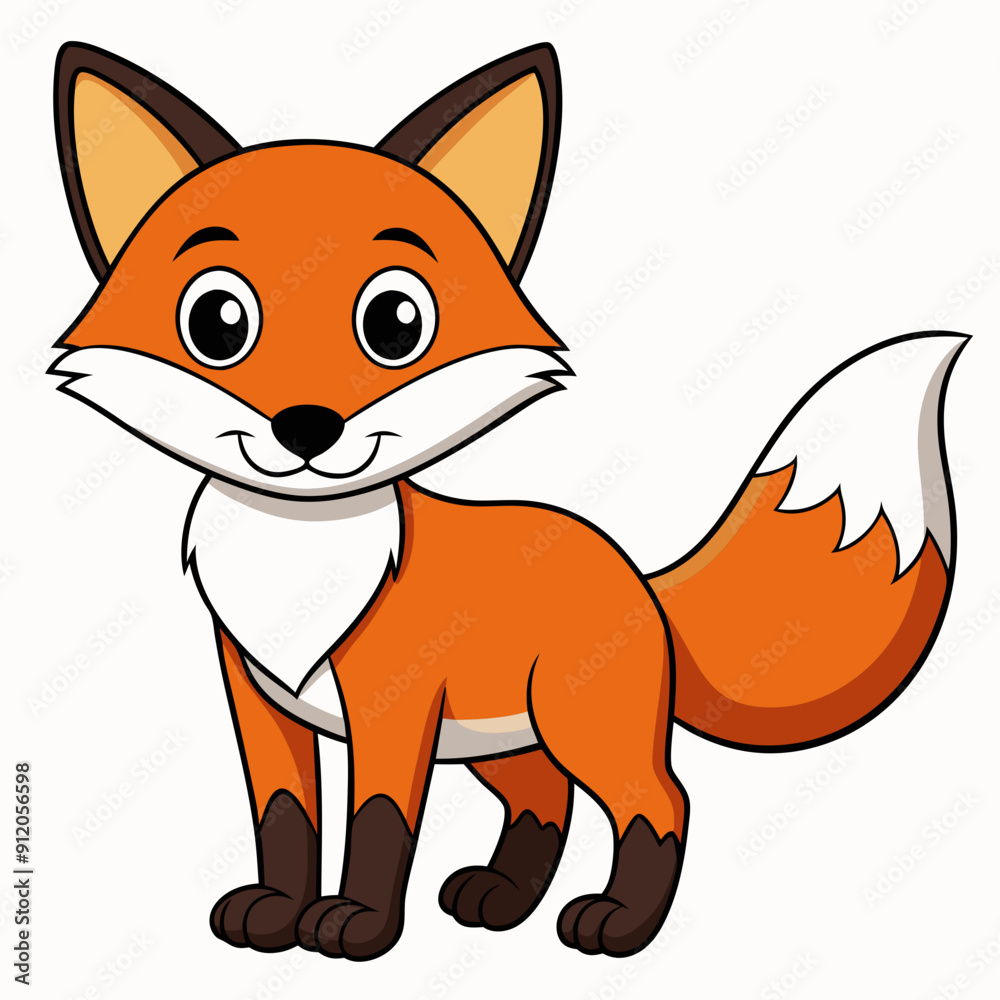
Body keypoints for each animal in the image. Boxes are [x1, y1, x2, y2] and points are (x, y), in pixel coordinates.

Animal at [50, 41, 965, 960]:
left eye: (395, 322)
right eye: (218, 321)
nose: (307, 426)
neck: (303, 554)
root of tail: (634, 573)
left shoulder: (392, 707)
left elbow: (379, 821)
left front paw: (357, 926)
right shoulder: (257, 697)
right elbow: (283, 815)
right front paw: (276, 912)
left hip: (579, 720)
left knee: (658, 799)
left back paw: (619, 922)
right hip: (503, 738)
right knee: (544, 800)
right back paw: (501, 898)